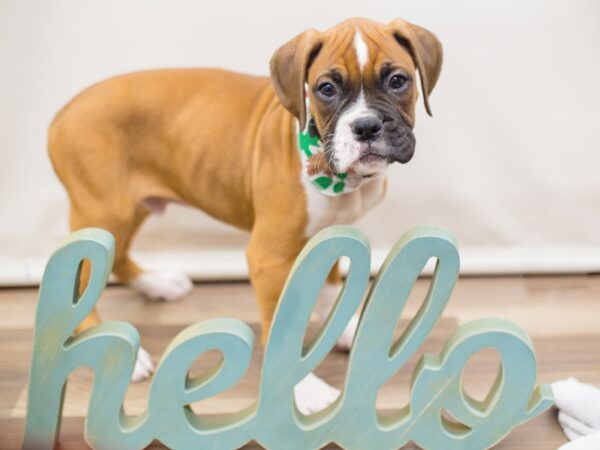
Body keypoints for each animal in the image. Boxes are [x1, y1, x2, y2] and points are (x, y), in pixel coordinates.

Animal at [48, 16, 440, 414]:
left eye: (398, 81)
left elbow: (330, 290)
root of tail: (64, 112)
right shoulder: (268, 258)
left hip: (131, 208)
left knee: (117, 257)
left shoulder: (330, 232)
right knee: (83, 274)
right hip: (104, 210)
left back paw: (157, 284)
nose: (365, 126)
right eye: (326, 89)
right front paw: (304, 390)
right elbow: (282, 327)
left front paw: (342, 330)